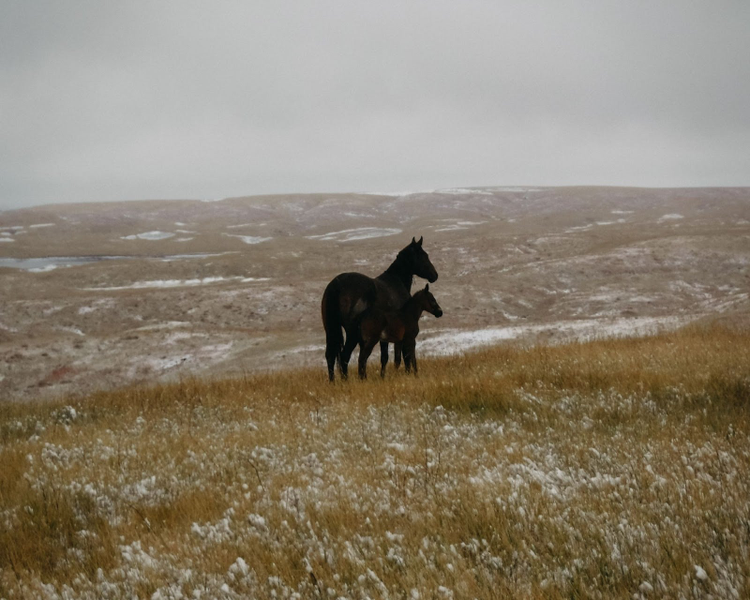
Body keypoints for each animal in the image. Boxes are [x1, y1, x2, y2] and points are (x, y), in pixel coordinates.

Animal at [320, 236, 438, 380]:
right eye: (423, 256)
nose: (435, 275)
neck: (396, 282)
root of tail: (335, 286)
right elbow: (401, 357)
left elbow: (385, 357)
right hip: (351, 333)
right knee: (344, 356)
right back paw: (346, 381)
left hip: (331, 330)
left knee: (330, 356)